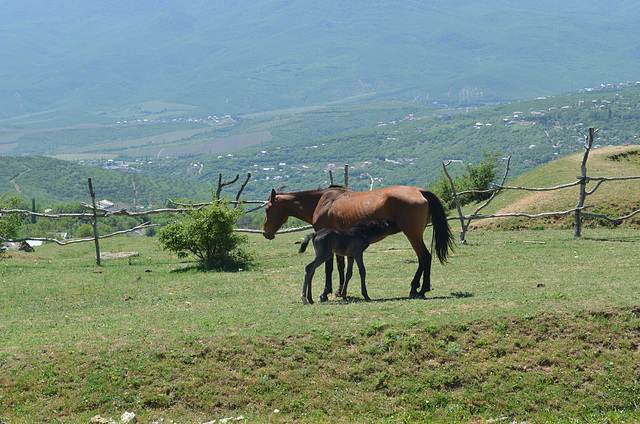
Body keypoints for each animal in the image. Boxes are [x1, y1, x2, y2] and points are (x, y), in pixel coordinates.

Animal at [262, 184, 452, 300]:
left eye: (267, 208)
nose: (265, 232)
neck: (322, 202)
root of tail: (420, 191)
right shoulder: (339, 243)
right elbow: (341, 267)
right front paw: (339, 291)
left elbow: (329, 268)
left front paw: (325, 293)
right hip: (414, 235)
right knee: (422, 259)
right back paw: (416, 288)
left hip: (413, 235)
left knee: (425, 257)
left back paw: (420, 289)